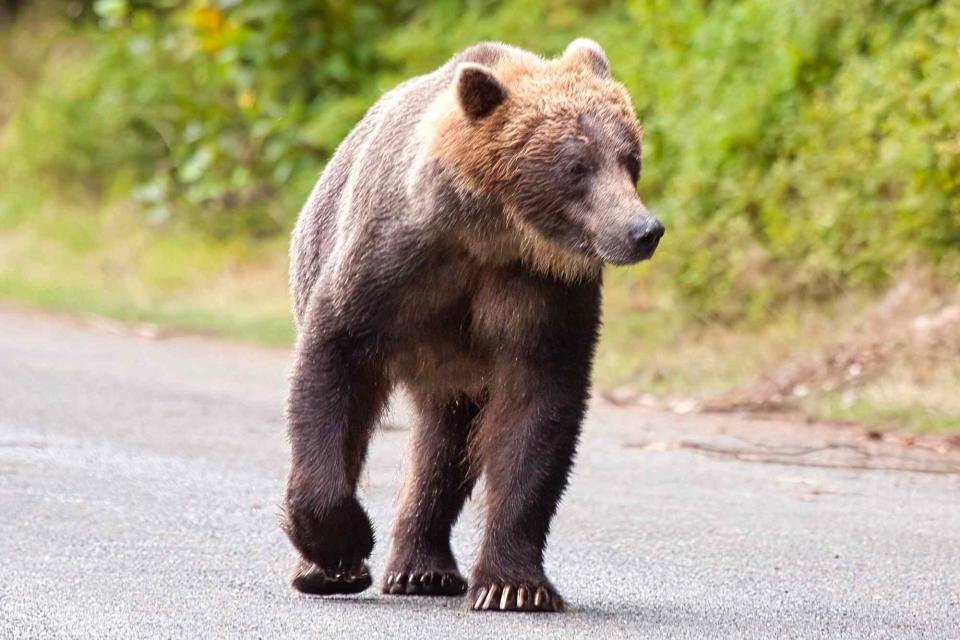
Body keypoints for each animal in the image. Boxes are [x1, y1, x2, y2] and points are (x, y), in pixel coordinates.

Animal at [284, 37, 660, 612]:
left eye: (630, 158)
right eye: (576, 165)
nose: (643, 229)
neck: (487, 233)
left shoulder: (542, 294)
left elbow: (536, 414)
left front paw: (513, 585)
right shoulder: (387, 266)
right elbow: (332, 363)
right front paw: (342, 547)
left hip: (456, 377)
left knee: (445, 449)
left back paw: (422, 569)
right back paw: (329, 570)